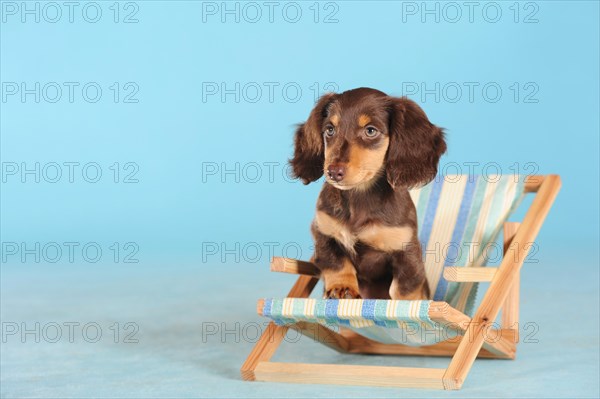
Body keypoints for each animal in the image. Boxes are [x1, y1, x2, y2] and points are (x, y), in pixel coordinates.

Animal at [290, 87, 446, 300]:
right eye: (330, 129)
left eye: (370, 130)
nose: (333, 172)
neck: (359, 196)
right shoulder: (323, 230)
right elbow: (335, 262)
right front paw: (342, 287)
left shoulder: (407, 250)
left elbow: (405, 289)